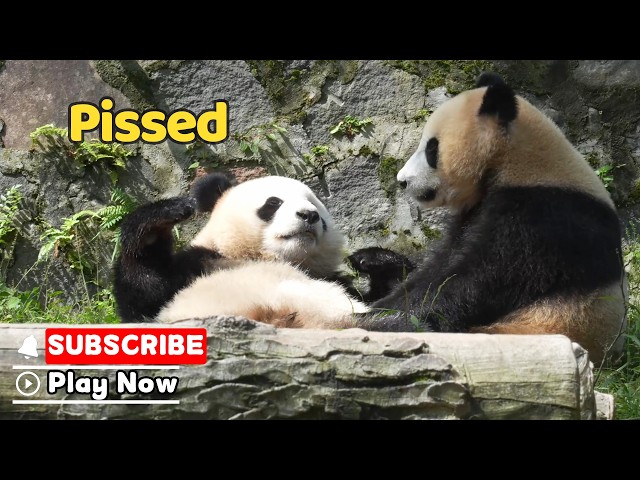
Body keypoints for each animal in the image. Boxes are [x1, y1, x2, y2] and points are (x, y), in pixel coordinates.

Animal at [113, 173, 374, 328]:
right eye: (274, 203)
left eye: (315, 206)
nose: (309, 215)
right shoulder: (194, 268)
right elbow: (145, 296)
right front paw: (161, 219)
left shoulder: (332, 279)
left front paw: (371, 259)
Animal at [354, 72, 627, 365]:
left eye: (431, 149)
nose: (403, 181)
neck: (520, 162)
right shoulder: (474, 213)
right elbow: (438, 264)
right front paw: (372, 276)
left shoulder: (543, 219)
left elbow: (475, 281)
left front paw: (376, 313)